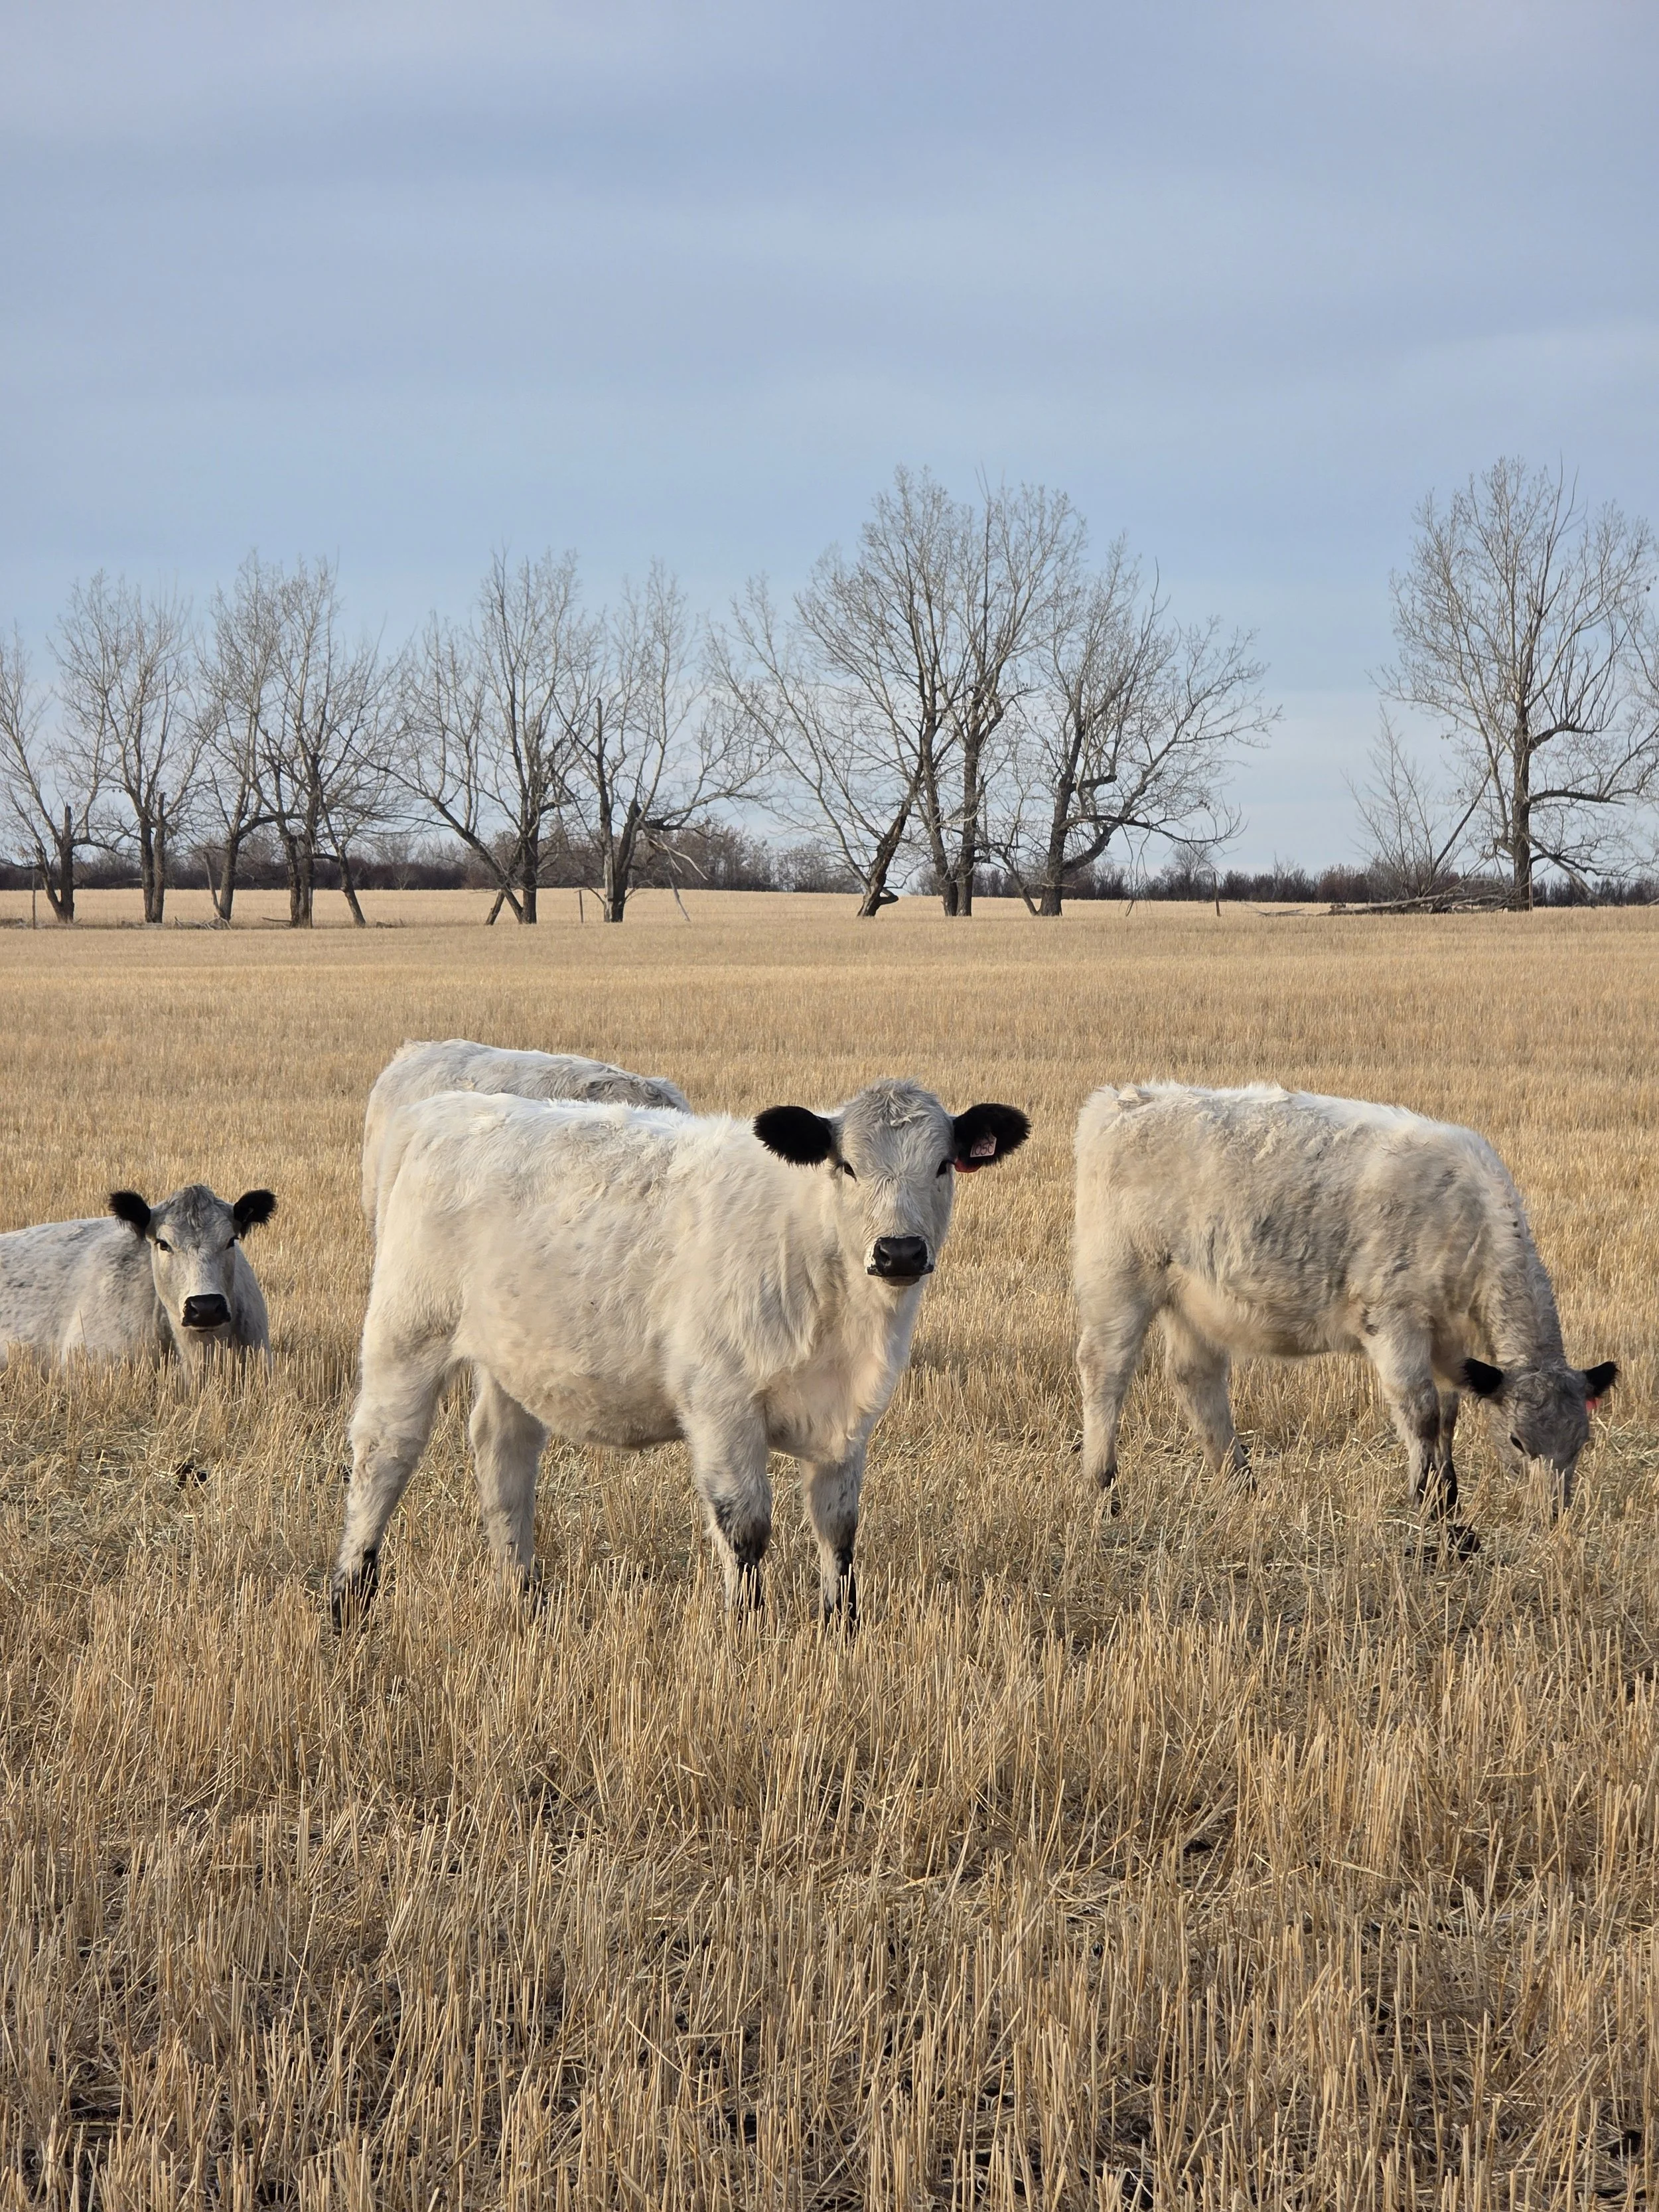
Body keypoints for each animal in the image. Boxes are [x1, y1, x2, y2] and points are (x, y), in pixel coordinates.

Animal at [330, 1078, 1029, 1629]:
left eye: (942, 1165)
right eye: (847, 1166)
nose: (899, 1251)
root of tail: (445, 1107)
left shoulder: (848, 1423)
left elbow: (840, 1526)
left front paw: (842, 1627)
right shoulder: (720, 1403)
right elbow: (745, 1526)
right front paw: (748, 1635)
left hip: (514, 1358)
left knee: (505, 1463)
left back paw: (525, 1598)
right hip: (406, 1335)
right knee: (383, 1456)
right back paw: (349, 1601)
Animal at [1073, 1083, 1615, 1543]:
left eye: (1582, 1442)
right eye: (1518, 1441)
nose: (1554, 1516)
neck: (1470, 1216)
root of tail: (1125, 1099)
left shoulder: (1451, 1343)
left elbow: (1447, 1417)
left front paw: (1450, 1504)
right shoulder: (1395, 1321)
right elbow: (1421, 1412)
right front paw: (1429, 1508)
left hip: (1192, 1302)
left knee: (1196, 1380)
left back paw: (1242, 1484)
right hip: (1117, 1282)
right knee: (1106, 1371)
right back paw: (1103, 1485)